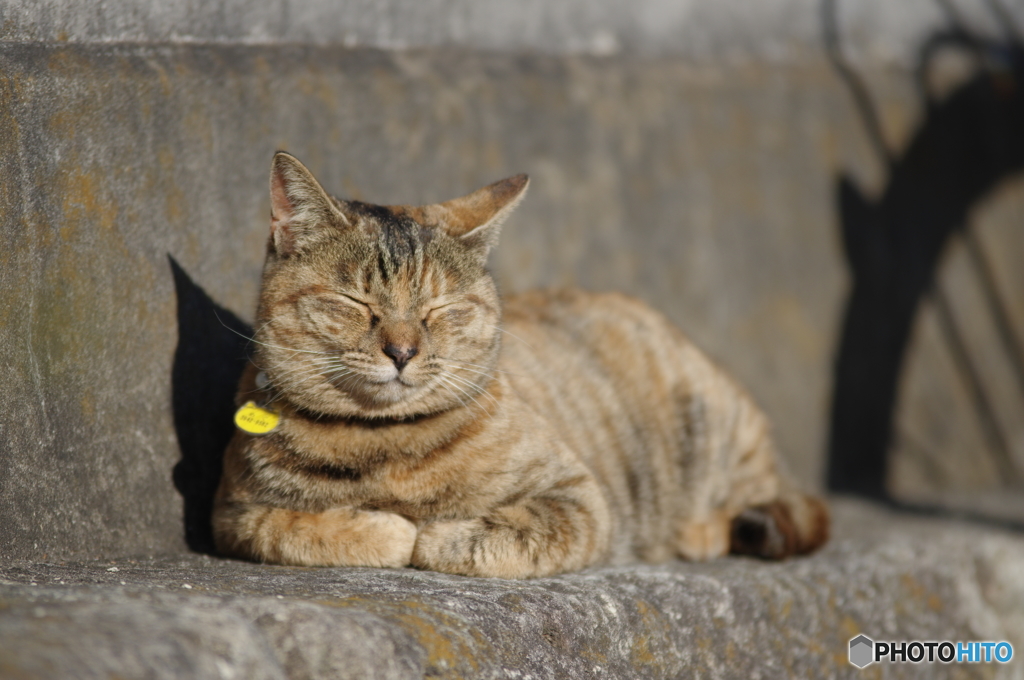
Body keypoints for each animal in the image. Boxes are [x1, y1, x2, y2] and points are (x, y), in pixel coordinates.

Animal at [211, 151, 827, 577]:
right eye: (357, 303)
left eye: (440, 309)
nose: (402, 352)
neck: (382, 448)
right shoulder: (233, 512)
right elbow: (292, 529)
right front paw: (383, 529)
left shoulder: (577, 496)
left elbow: (494, 534)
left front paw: (428, 534)